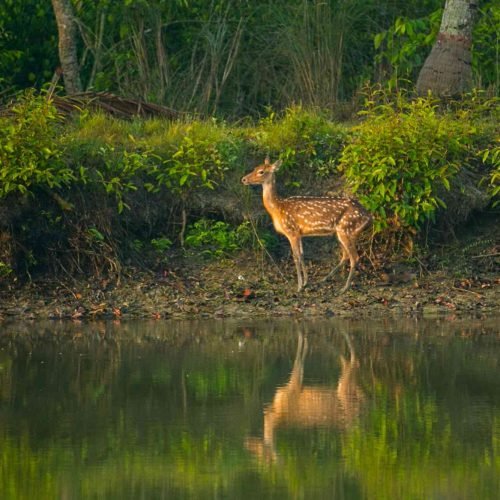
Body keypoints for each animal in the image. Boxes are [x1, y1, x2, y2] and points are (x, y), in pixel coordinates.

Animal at [242, 157, 372, 292]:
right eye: (255, 168)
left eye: (261, 172)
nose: (244, 179)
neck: (278, 208)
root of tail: (369, 216)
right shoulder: (299, 233)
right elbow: (302, 255)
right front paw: (305, 282)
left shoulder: (291, 231)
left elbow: (296, 257)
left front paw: (299, 286)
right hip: (343, 233)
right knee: (345, 255)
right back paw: (325, 279)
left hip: (346, 229)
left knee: (354, 257)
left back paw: (344, 288)